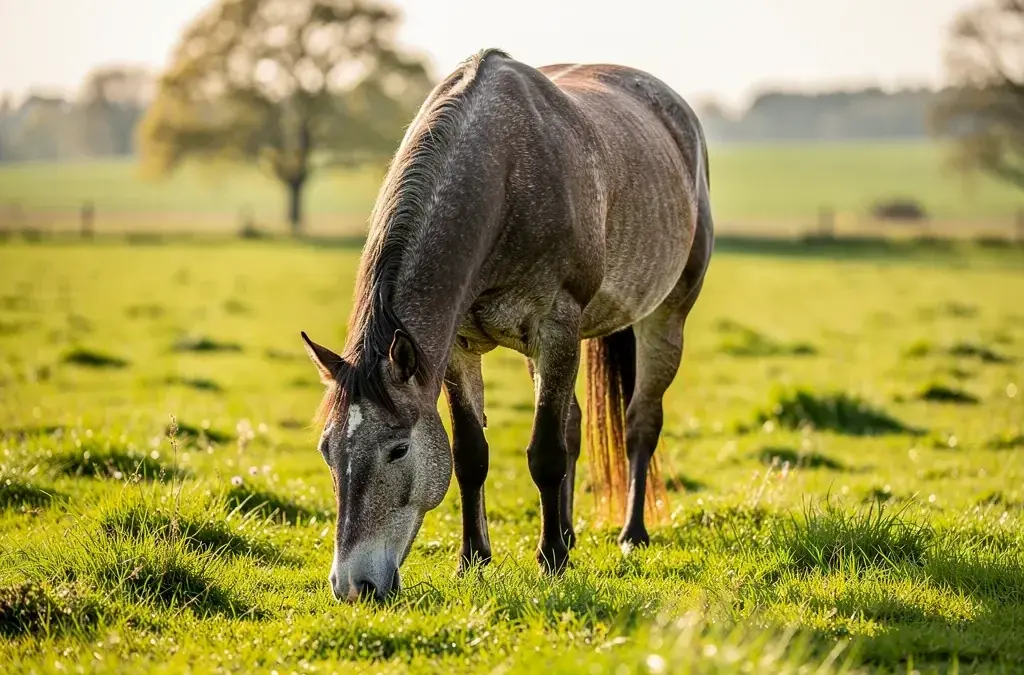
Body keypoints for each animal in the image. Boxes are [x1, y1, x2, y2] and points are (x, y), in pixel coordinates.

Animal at [301, 48, 714, 603]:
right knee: (574, 424)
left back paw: (630, 533)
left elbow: (545, 453)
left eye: (398, 449)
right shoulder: (457, 348)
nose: (353, 586)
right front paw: (472, 558)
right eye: (327, 450)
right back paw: (568, 530)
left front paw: (551, 561)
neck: (504, 178)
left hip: (664, 318)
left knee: (639, 423)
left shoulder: (555, 329)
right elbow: (470, 454)